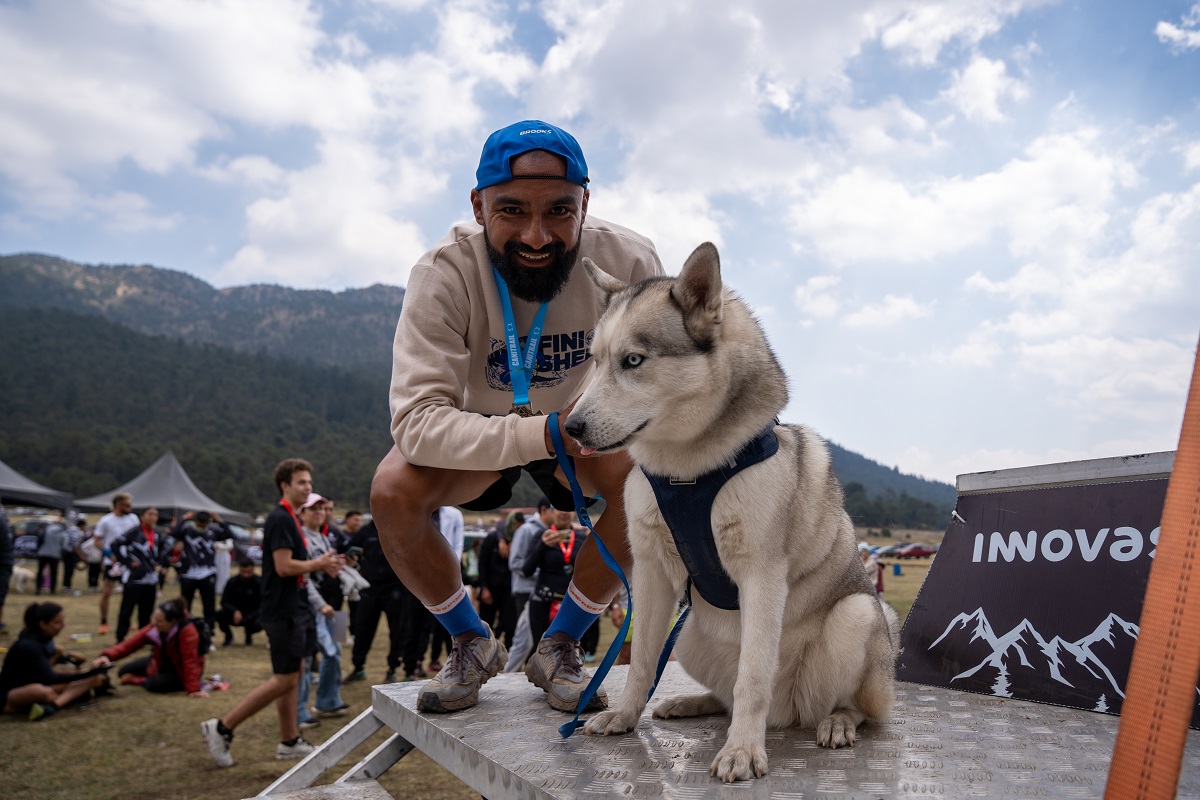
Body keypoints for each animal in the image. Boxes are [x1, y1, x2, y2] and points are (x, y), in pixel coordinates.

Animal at [566, 242, 897, 782]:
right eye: (593, 361)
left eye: (633, 360)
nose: (569, 428)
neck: (688, 472)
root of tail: (786, 715)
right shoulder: (651, 571)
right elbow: (641, 661)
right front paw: (626, 714)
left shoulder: (760, 575)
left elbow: (753, 677)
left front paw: (743, 749)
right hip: (688, 636)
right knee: (719, 691)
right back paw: (694, 702)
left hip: (859, 615)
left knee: (858, 706)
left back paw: (838, 721)